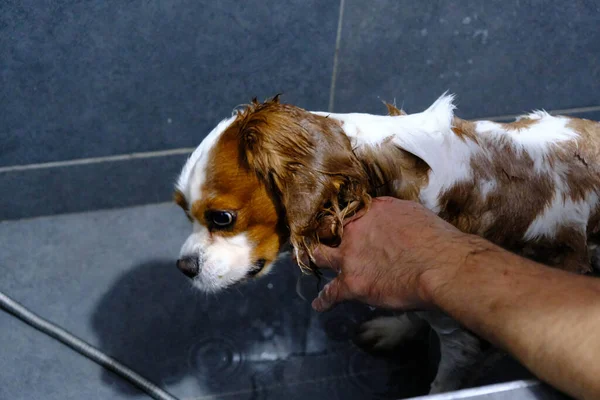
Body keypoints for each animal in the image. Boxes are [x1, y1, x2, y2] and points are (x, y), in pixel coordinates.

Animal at [171, 93, 596, 394]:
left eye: (221, 218)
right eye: (182, 211)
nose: (184, 268)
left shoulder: (466, 339)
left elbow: (444, 381)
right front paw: (396, 330)